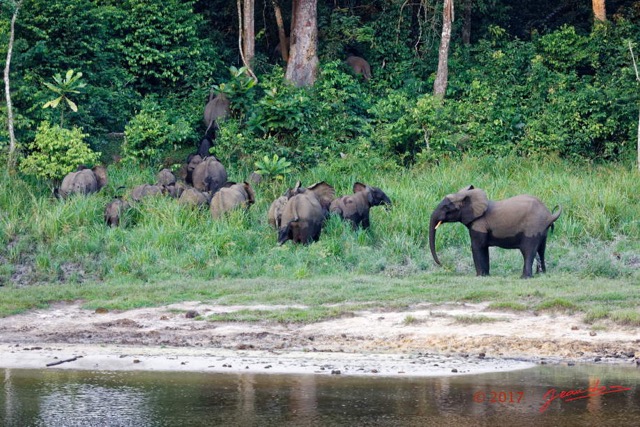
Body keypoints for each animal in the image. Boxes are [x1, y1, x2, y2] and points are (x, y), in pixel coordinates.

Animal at [429, 185, 562, 278]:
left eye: (446, 207)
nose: (442, 264)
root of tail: (549, 215)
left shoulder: (479, 224)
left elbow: (477, 247)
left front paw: (479, 276)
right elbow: (483, 249)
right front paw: (486, 275)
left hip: (533, 227)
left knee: (527, 250)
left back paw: (525, 277)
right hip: (542, 230)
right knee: (541, 249)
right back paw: (541, 274)